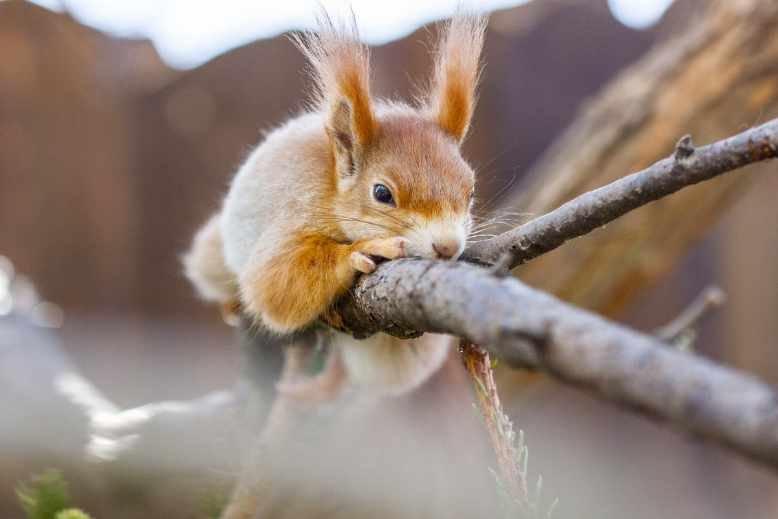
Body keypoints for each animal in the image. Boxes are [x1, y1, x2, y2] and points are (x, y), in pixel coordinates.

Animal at [183, 14, 487, 398]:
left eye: (471, 191)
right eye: (382, 193)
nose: (448, 247)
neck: (332, 190)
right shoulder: (295, 208)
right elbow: (273, 282)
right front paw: (361, 251)